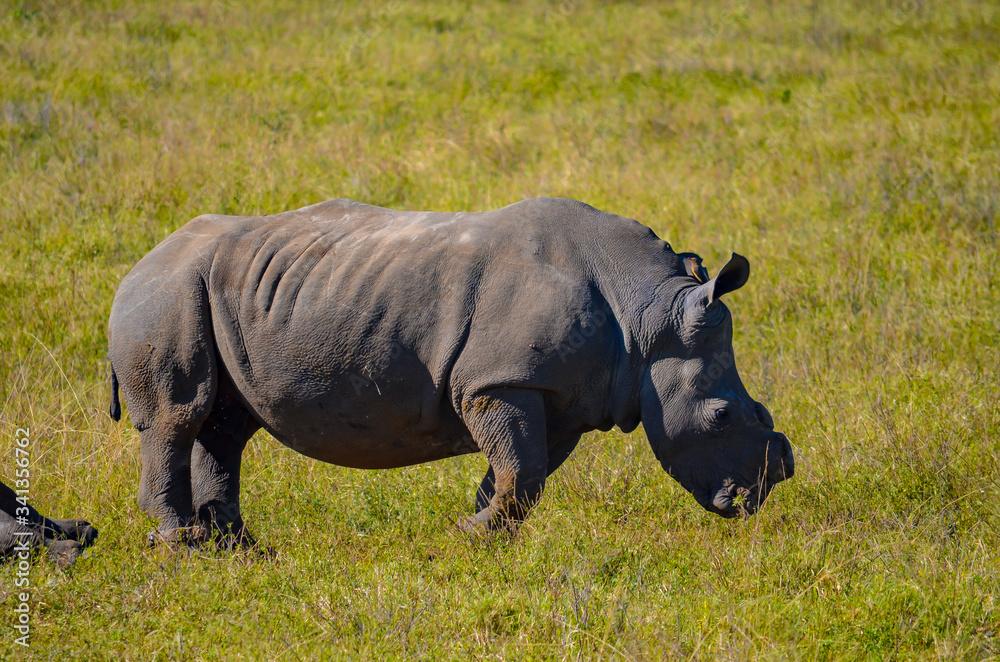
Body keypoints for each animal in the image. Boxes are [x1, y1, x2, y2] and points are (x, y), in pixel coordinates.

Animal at [108, 197, 793, 548]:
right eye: (721, 416)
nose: (757, 495)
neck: (647, 312)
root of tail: (138, 262)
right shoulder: (498, 381)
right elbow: (523, 467)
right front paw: (475, 532)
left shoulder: (559, 394)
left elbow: (521, 472)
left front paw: (480, 536)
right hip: (166, 292)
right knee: (177, 417)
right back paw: (182, 545)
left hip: (213, 288)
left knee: (224, 424)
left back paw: (239, 549)